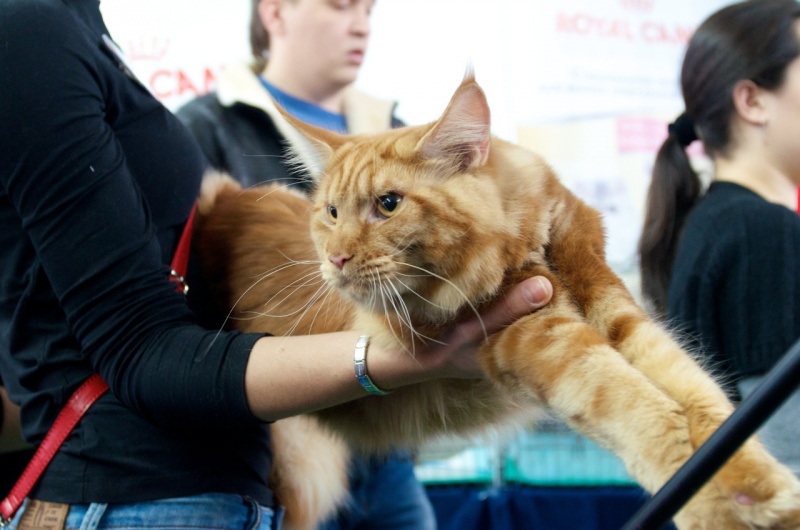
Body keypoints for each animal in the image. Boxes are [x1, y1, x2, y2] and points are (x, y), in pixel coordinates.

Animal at [194, 72, 800, 530]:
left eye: (388, 204)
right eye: (332, 212)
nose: (337, 259)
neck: (524, 240)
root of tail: (222, 203)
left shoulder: (606, 296)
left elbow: (699, 399)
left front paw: (762, 490)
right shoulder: (532, 336)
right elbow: (639, 407)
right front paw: (713, 510)